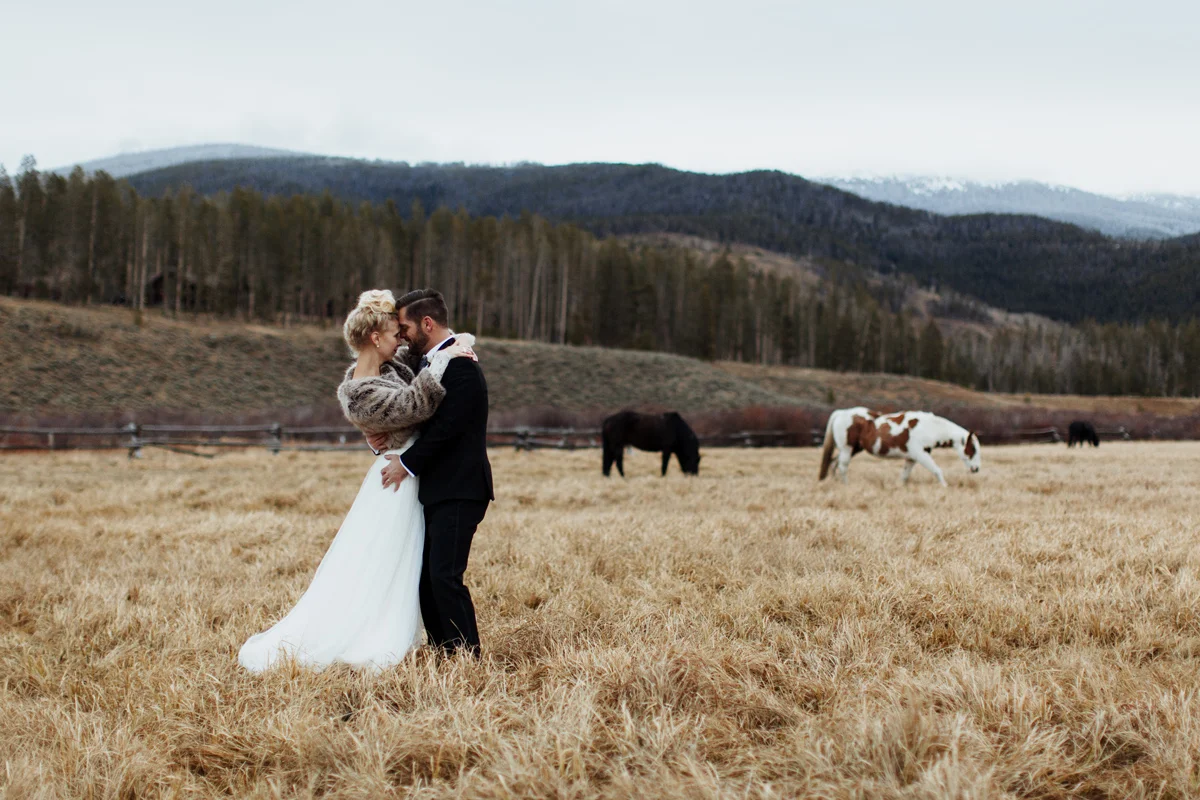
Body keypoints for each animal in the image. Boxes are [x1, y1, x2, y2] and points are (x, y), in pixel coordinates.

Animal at [820, 407, 979, 489]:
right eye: (973, 449)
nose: (976, 468)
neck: (930, 428)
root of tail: (841, 412)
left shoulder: (911, 458)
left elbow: (905, 475)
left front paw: (900, 487)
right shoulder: (921, 454)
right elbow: (936, 470)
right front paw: (945, 486)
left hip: (852, 449)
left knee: (834, 463)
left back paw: (836, 482)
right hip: (847, 448)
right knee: (842, 466)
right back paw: (846, 484)